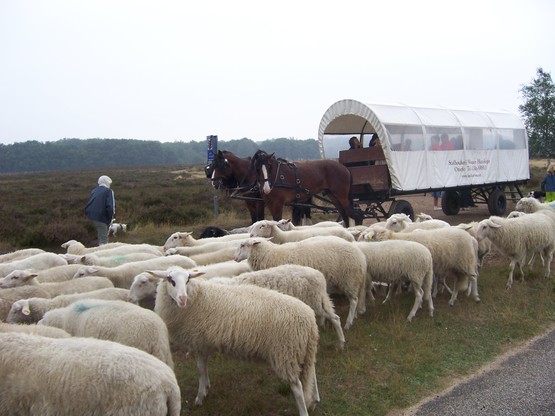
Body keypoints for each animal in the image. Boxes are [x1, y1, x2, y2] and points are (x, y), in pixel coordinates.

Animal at [151, 266, 322, 416]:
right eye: (170, 280)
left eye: (187, 280)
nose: (182, 299)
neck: (198, 296)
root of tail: (309, 320)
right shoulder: (204, 343)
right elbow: (204, 368)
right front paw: (207, 387)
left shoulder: (199, 342)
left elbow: (200, 369)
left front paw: (200, 397)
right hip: (303, 350)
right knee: (311, 372)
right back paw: (315, 400)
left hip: (286, 352)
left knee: (298, 387)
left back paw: (304, 411)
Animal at [211, 264, 346, 350]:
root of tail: (319, 276)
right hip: (320, 301)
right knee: (334, 317)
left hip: (315, 302)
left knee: (335, 319)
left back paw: (341, 343)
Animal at [235, 237, 370, 328]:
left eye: (242, 245)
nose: (235, 258)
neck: (270, 254)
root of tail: (361, 256)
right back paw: (354, 317)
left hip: (350, 279)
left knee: (354, 300)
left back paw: (348, 323)